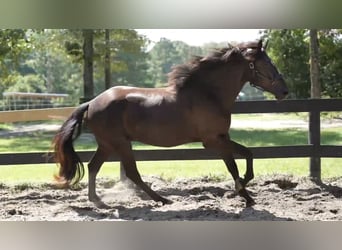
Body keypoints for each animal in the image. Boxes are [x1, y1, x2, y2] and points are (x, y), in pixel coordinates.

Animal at [52, 40, 288, 207]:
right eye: (267, 63)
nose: (284, 91)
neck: (208, 93)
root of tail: (92, 103)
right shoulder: (213, 140)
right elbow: (236, 164)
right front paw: (242, 193)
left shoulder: (223, 137)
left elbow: (245, 156)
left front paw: (241, 192)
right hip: (119, 143)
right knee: (131, 172)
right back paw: (162, 199)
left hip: (107, 144)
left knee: (93, 167)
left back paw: (98, 201)